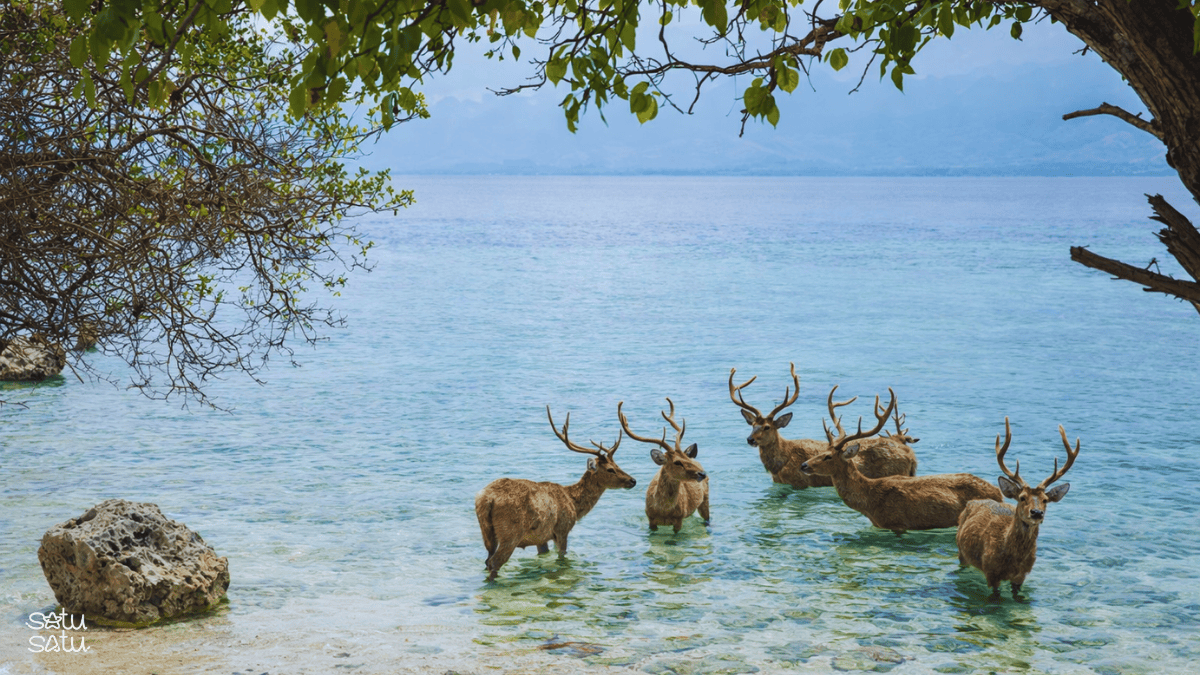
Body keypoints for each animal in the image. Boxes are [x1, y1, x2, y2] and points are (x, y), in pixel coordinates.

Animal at [474, 406, 637, 581]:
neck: (574, 504)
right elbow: (562, 557)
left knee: (487, 560)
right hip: (510, 532)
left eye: (617, 464)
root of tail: (486, 499)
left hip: (486, 532)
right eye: (610, 469)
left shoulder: (541, 537)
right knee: (495, 561)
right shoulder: (562, 528)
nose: (633, 480)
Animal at [618, 398, 710, 533]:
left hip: (706, 499)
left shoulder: (679, 518)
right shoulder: (650, 518)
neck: (664, 511)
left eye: (687, 458)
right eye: (677, 462)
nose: (702, 473)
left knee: (707, 518)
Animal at [729, 363, 917, 488]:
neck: (779, 465)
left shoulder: (800, 483)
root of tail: (911, 456)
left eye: (767, 427)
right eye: (752, 424)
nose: (750, 439)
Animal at [799, 387, 1003, 533]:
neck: (869, 502)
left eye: (828, 456)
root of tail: (999, 493)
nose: (804, 465)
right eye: (823, 450)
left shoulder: (897, 523)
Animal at [956, 417, 1079, 599]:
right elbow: (996, 598)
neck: (1013, 559)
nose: (1036, 513)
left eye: (1045, 500)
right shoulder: (990, 571)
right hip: (960, 551)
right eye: (1022, 498)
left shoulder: (1022, 575)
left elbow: (1016, 597)